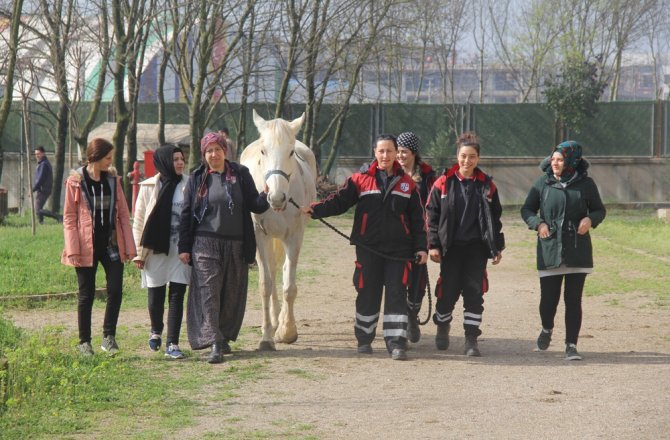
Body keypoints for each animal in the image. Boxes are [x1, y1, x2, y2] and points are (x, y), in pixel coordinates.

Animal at [240, 110, 318, 350]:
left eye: (291, 152)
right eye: (263, 151)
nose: (276, 197)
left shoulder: (294, 237)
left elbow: (289, 286)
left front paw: (287, 331)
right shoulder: (260, 236)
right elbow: (265, 284)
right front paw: (266, 336)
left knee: (282, 271)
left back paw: (281, 322)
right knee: (273, 272)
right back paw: (274, 322)